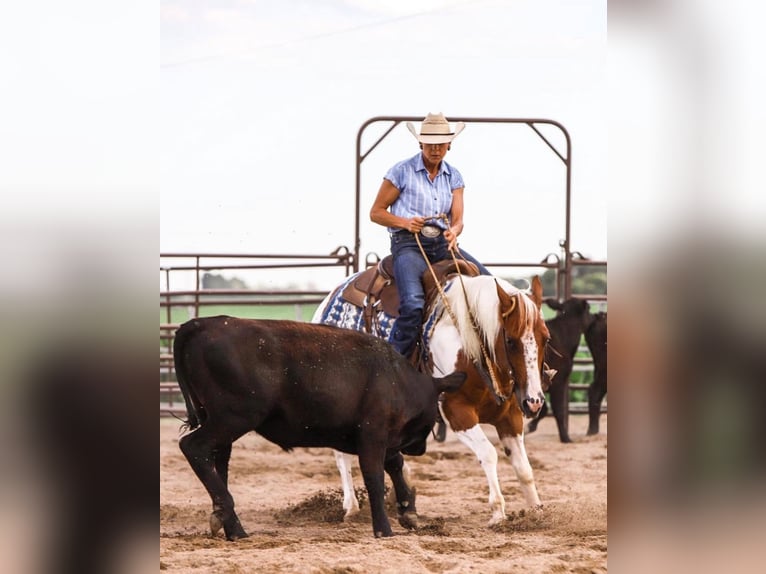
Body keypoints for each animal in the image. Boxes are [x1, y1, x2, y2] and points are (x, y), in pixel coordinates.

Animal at [173, 318, 464, 544]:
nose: (421, 448)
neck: (397, 380)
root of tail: (201, 323)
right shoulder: (373, 434)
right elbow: (375, 477)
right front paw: (384, 529)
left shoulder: (383, 437)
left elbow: (394, 464)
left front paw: (407, 511)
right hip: (233, 417)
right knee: (194, 447)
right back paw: (224, 513)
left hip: (223, 424)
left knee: (218, 465)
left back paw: (232, 527)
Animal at [314, 264, 552, 528]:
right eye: (510, 341)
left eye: (546, 338)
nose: (534, 402)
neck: (473, 346)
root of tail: (329, 299)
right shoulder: (457, 412)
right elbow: (488, 454)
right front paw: (498, 512)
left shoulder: (510, 416)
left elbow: (523, 467)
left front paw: (537, 512)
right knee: (341, 453)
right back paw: (352, 507)